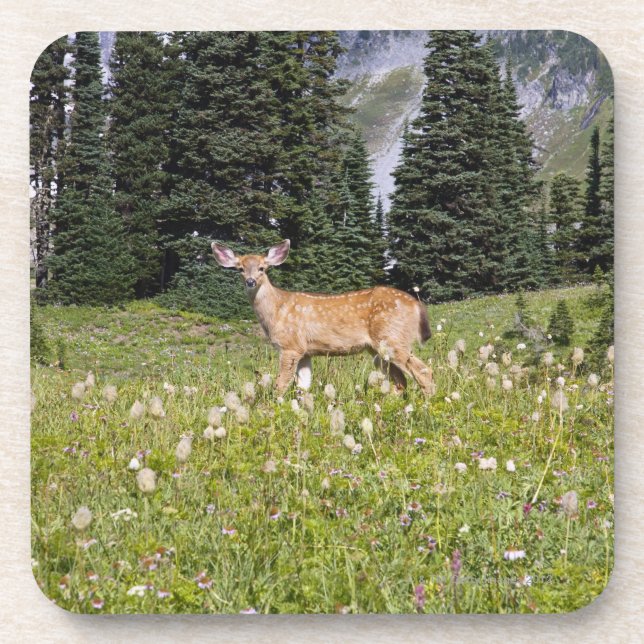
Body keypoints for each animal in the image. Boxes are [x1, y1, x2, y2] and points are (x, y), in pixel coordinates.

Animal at [212, 239, 434, 395]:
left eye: (262, 268)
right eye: (240, 269)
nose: (250, 281)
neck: (277, 310)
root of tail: (417, 305)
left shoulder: (290, 346)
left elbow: (281, 384)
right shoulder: (305, 351)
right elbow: (303, 387)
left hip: (392, 338)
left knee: (424, 371)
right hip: (378, 349)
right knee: (401, 380)